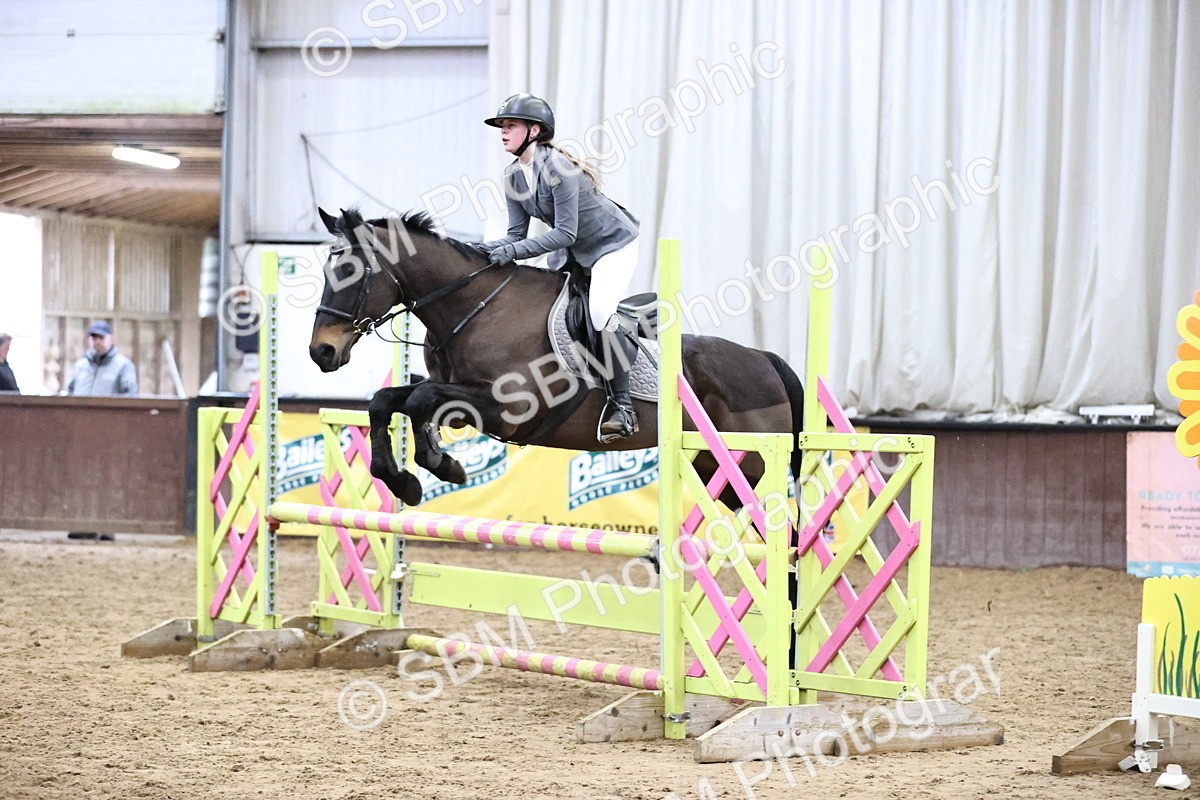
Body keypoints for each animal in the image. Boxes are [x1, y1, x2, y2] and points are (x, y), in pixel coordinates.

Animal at [308, 207, 805, 510]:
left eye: (351, 272)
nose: (321, 351)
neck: (474, 307)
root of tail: (764, 359)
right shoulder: (459, 399)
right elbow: (388, 400)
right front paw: (406, 480)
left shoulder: (509, 408)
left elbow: (417, 401)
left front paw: (440, 464)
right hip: (714, 468)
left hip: (751, 464)